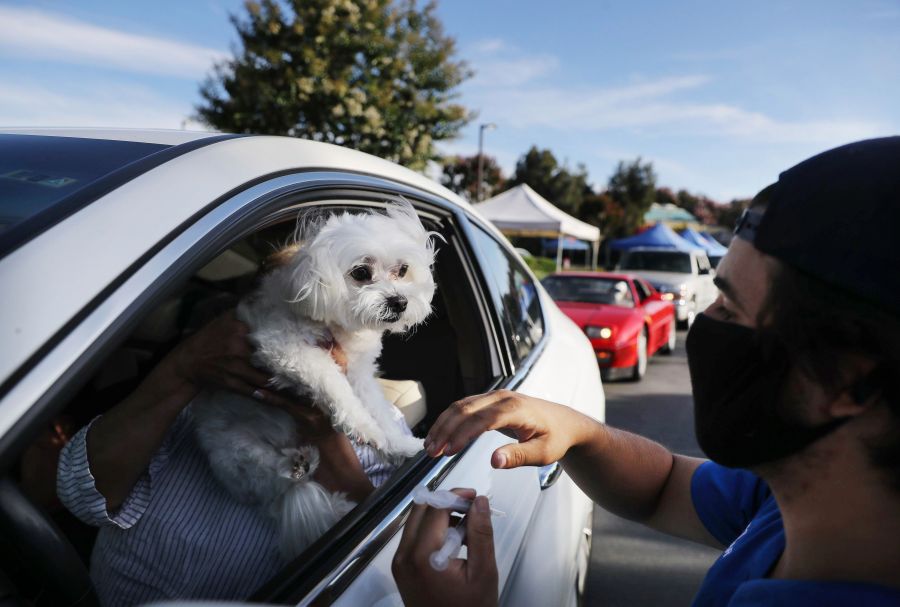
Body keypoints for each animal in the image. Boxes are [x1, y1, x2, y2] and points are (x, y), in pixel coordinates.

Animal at [192, 202, 436, 560]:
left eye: (402, 270)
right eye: (360, 273)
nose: (399, 302)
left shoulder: (360, 373)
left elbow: (379, 410)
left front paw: (401, 445)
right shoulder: (284, 347)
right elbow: (334, 385)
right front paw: (364, 428)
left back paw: (308, 470)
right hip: (233, 452)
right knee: (270, 476)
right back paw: (297, 467)